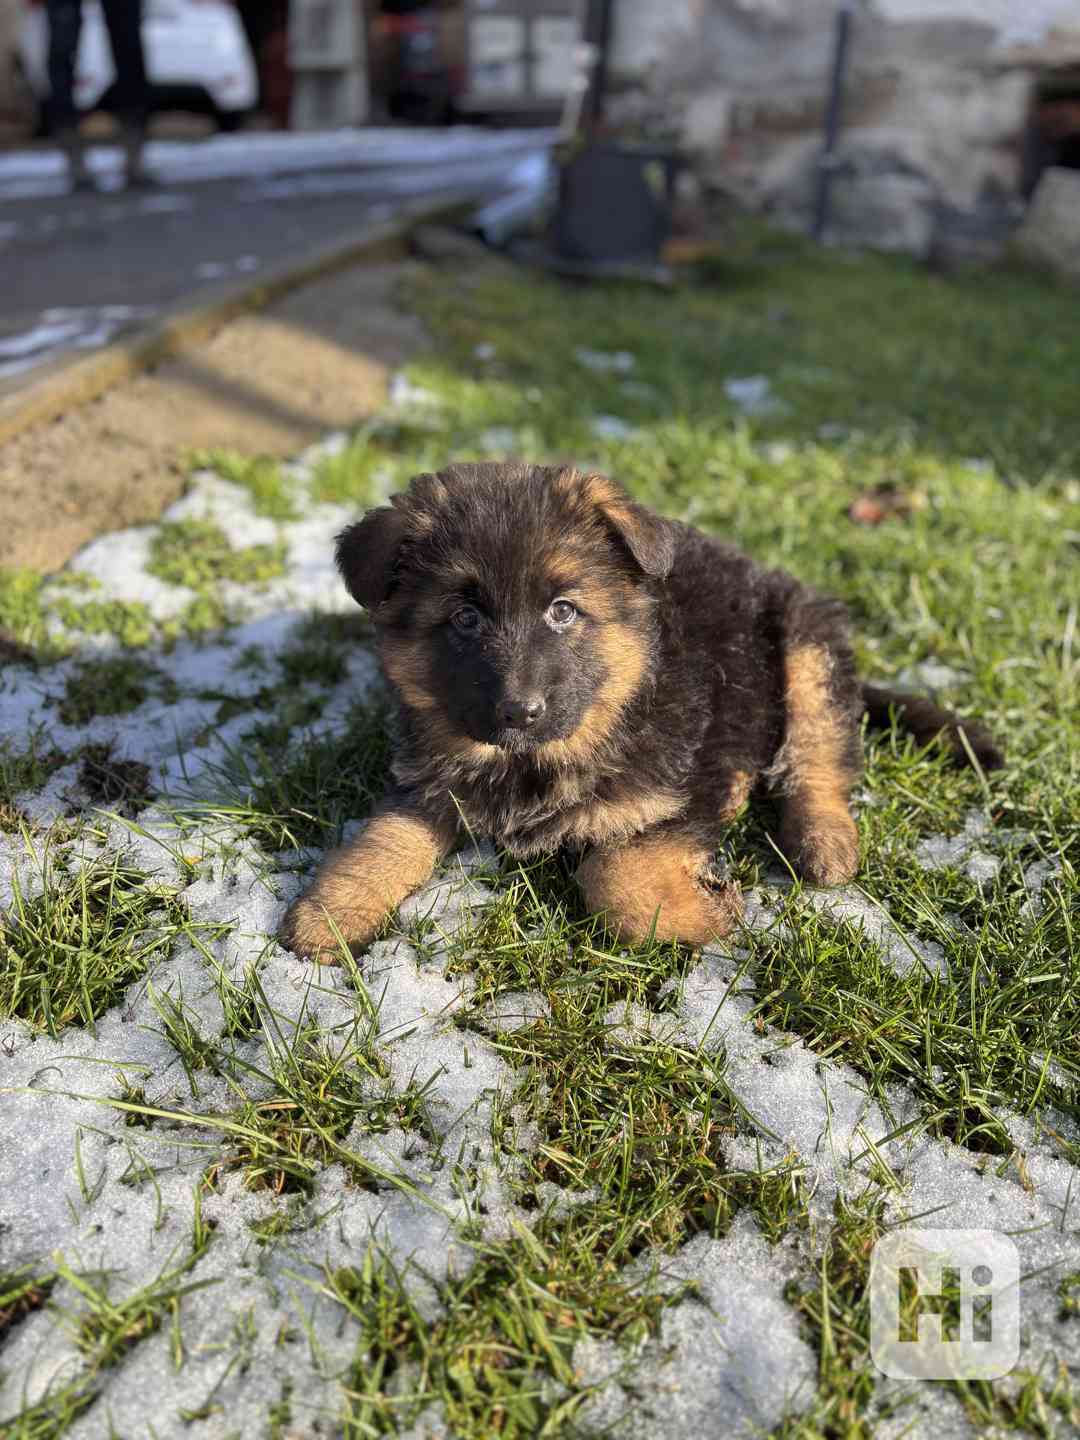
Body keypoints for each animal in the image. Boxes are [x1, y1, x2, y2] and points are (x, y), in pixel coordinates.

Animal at [280, 466, 1008, 961]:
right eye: (462, 618)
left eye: (563, 610)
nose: (519, 713)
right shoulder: (430, 779)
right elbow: (384, 834)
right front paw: (331, 910)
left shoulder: (682, 793)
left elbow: (611, 873)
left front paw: (706, 914)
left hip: (805, 643)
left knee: (819, 756)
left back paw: (823, 838)